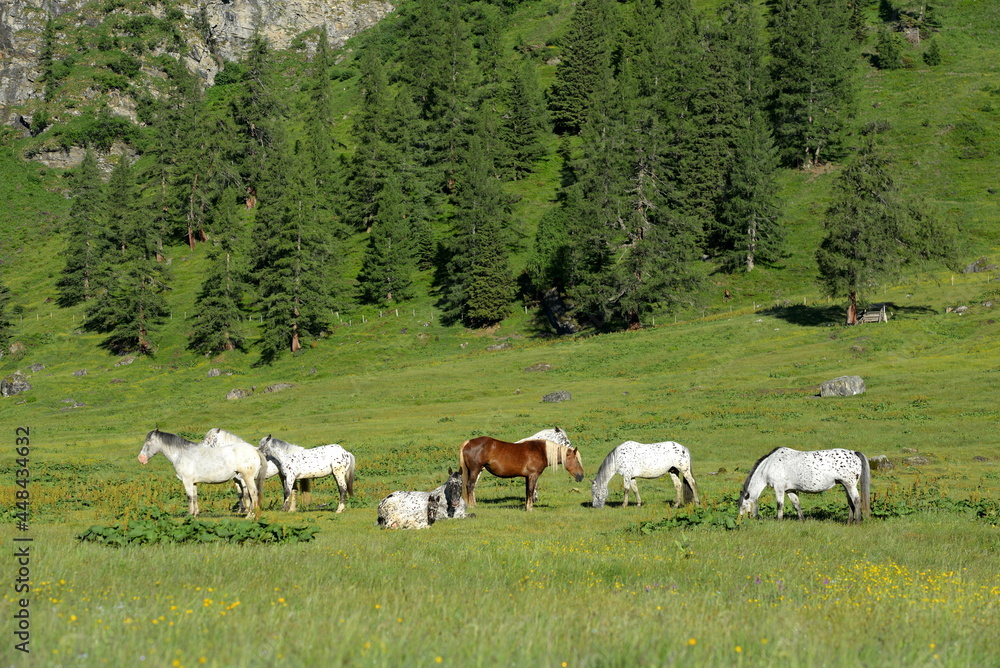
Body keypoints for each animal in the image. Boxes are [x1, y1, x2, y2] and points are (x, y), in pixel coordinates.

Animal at [139, 430, 270, 520]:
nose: (141, 458)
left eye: (148, 442)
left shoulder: (186, 481)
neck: (182, 453)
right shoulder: (193, 482)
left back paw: (250, 515)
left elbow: (189, 497)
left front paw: (189, 514)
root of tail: (254, 450)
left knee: (253, 494)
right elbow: (195, 497)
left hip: (248, 478)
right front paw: (195, 514)